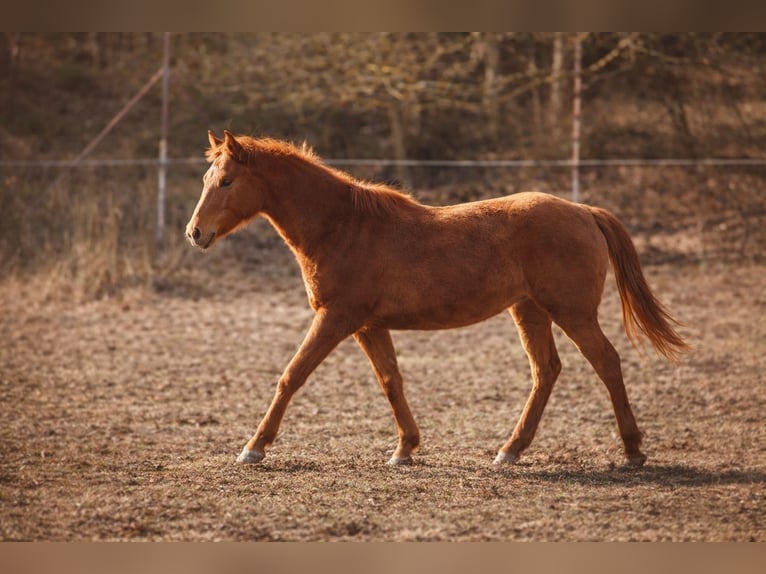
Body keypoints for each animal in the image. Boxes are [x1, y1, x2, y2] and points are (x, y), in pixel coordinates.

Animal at [186, 130, 687, 467]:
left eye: (226, 181)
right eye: (207, 178)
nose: (195, 233)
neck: (343, 227)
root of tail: (584, 211)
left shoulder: (336, 319)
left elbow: (291, 377)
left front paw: (253, 448)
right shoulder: (369, 326)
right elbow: (392, 382)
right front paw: (405, 449)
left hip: (572, 312)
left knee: (606, 362)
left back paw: (632, 450)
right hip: (529, 311)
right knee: (546, 371)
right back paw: (510, 450)